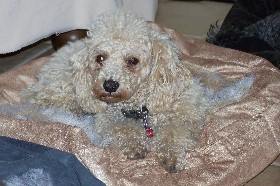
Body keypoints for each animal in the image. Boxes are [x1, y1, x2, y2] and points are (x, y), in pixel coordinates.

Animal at [19, 10, 255, 172]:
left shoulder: (186, 114)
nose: (109, 85)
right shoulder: (108, 119)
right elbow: (122, 128)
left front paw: (171, 155)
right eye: (100, 58)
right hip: (63, 92)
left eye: (132, 60)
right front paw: (135, 146)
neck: (141, 108)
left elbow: (174, 131)